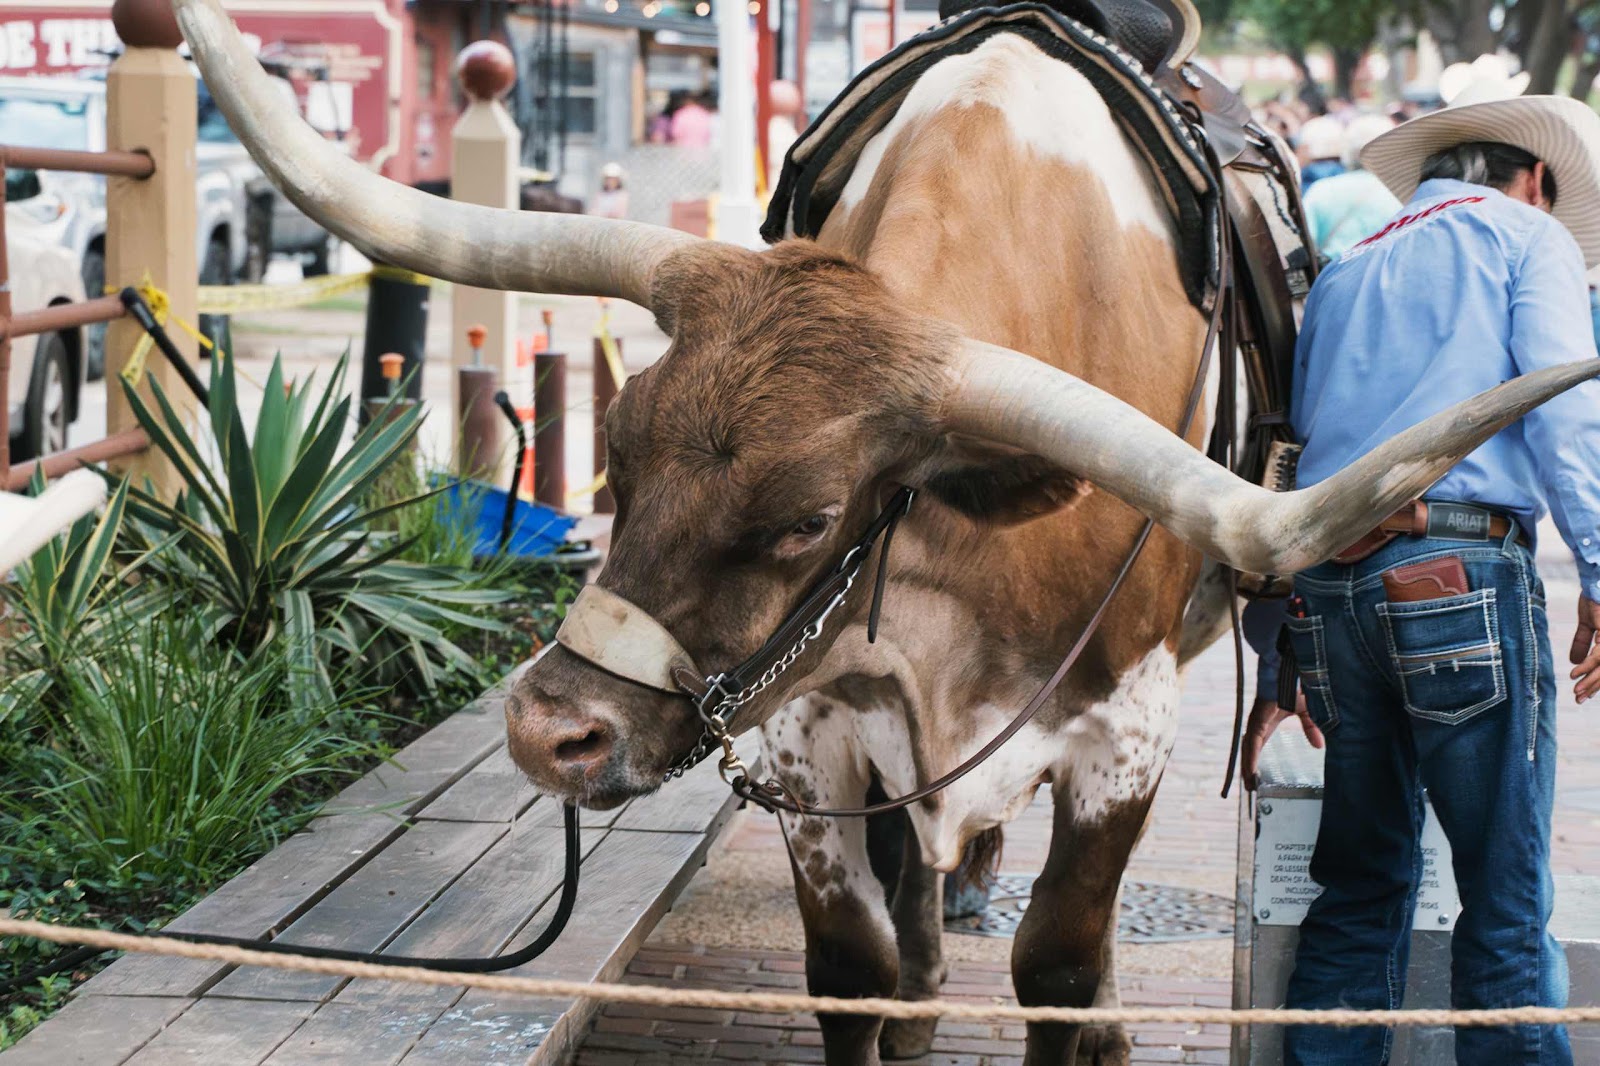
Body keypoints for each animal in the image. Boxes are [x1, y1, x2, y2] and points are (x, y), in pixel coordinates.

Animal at [174, 0, 1600, 1061]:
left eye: (809, 516)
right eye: (618, 445)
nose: (548, 730)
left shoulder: (1126, 731)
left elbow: (1060, 959)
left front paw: (1085, 1009)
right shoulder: (807, 720)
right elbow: (851, 962)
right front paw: (898, 976)